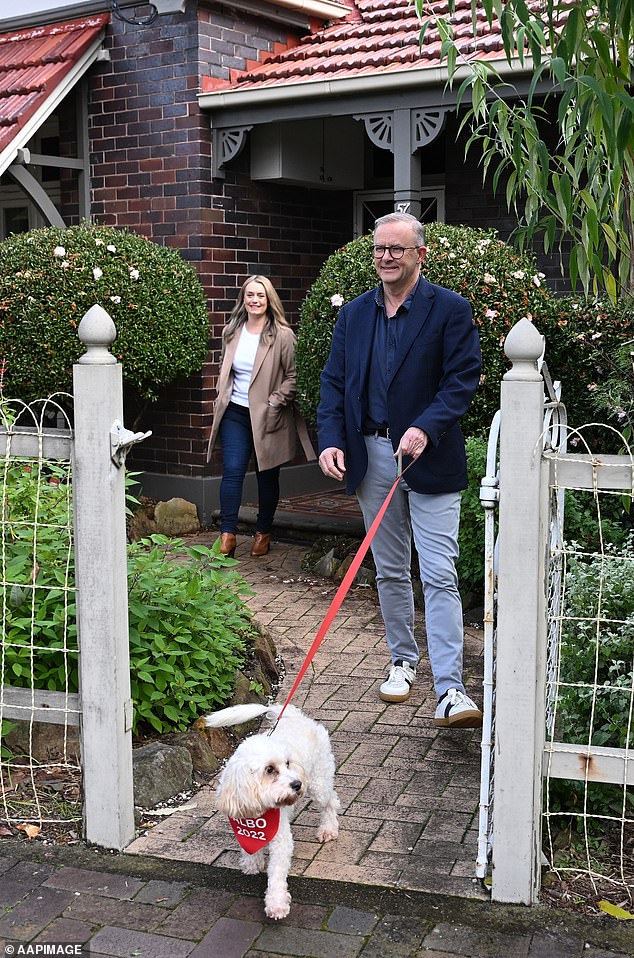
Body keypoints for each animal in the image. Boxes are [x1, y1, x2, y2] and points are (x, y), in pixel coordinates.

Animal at [202, 704, 340, 924]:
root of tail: (295, 715)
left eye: (288, 763)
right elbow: (249, 848)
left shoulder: (281, 840)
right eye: (269, 769)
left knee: (331, 802)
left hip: (319, 782)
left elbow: (276, 873)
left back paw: (328, 829)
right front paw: (251, 863)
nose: (297, 784)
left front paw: (276, 904)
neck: (258, 812)